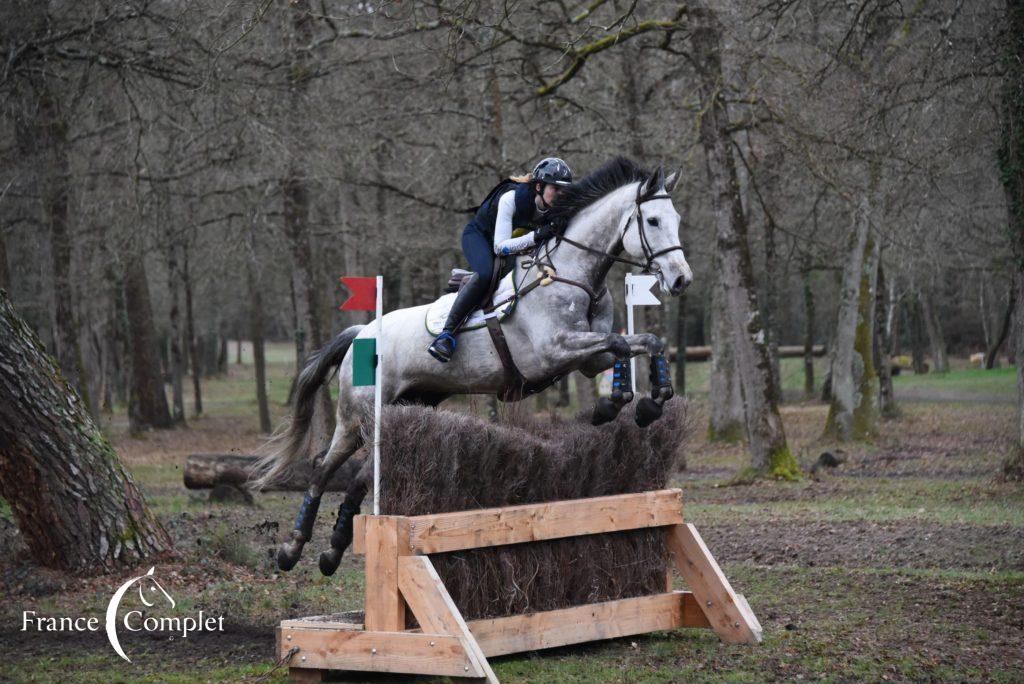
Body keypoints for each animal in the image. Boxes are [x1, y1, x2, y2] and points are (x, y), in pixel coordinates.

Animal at [251, 157, 692, 573]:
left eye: (676, 219)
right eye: (653, 220)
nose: (681, 280)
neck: (571, 273)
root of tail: (363, 332)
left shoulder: (587, 358)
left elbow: (641, 343)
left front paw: (643, 404)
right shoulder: (554, 350)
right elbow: (619, 342)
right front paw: (617, 406)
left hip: (400, 412)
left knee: (361, 479)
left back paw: (333, 552)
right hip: (356, 416)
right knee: (323, 469)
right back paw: (291, 549)